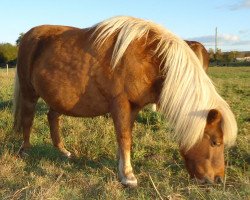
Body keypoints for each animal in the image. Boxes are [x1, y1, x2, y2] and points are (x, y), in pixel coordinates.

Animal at [13, 16, 236, 187]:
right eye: (215, 142)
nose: (218, 180)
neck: (149, 58)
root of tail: (29, 36)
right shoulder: (119, 104)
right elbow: (124, 138)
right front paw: (129, 177)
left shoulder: (133, 108)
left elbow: (125, 138)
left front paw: (122, 168)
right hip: (29, 91)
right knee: (28, 118)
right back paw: (26, 150)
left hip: (58, 98)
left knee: (52, 117)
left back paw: (63, 151)